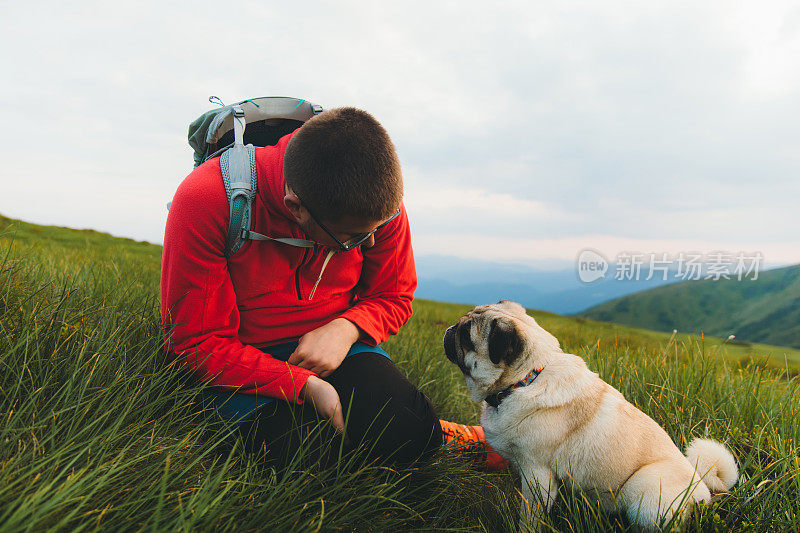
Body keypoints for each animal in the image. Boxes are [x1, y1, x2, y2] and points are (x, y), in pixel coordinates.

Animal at [444, 300, 736, 528]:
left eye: (467, 336)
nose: (451, 329)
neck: (525, 380)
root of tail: (704, 489)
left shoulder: (538, 474)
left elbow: (530, 516)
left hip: (643, 487)